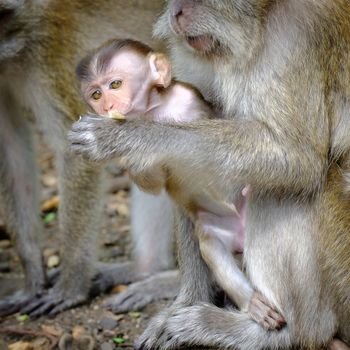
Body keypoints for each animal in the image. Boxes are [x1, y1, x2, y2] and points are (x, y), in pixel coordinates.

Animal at [0, 0, 180, 318]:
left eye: (0, 18)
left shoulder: (51, 54)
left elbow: (75, 152)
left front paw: (70, 286)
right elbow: (10, 149)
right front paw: (32, 278)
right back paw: (145, 268)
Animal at [76, 39, 284, 330]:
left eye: (115, 84)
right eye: (96, 94)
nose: (107, 105)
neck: (153, 112)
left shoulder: (189, 99)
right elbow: (154, 184)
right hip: (219, 229)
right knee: (210, 244)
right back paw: (253, 304)